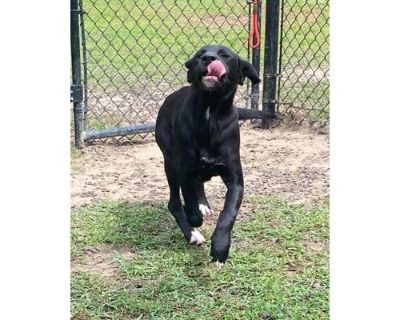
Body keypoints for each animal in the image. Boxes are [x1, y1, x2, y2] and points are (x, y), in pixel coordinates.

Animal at [154, 44, 276, 264]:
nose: (208, 58)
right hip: (170, 164)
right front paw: (195, 219)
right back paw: (192, 233)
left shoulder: (235, 180)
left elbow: (228, 214)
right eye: (199, 55)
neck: (210, 115)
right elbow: (189, 201)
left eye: (225, 55)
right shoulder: (185, 170)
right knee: (174, 203)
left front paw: (220, 248)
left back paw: (203, 206)